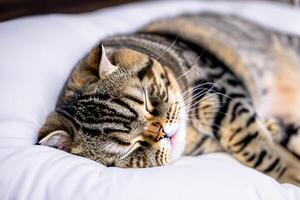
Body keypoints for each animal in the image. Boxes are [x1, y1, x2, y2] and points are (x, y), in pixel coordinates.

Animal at [37, 13, 300, 186]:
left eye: (147, 101)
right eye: (129, 147)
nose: (163, 132)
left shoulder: (219, 85)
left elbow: (251, 142)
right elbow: (262, 146)